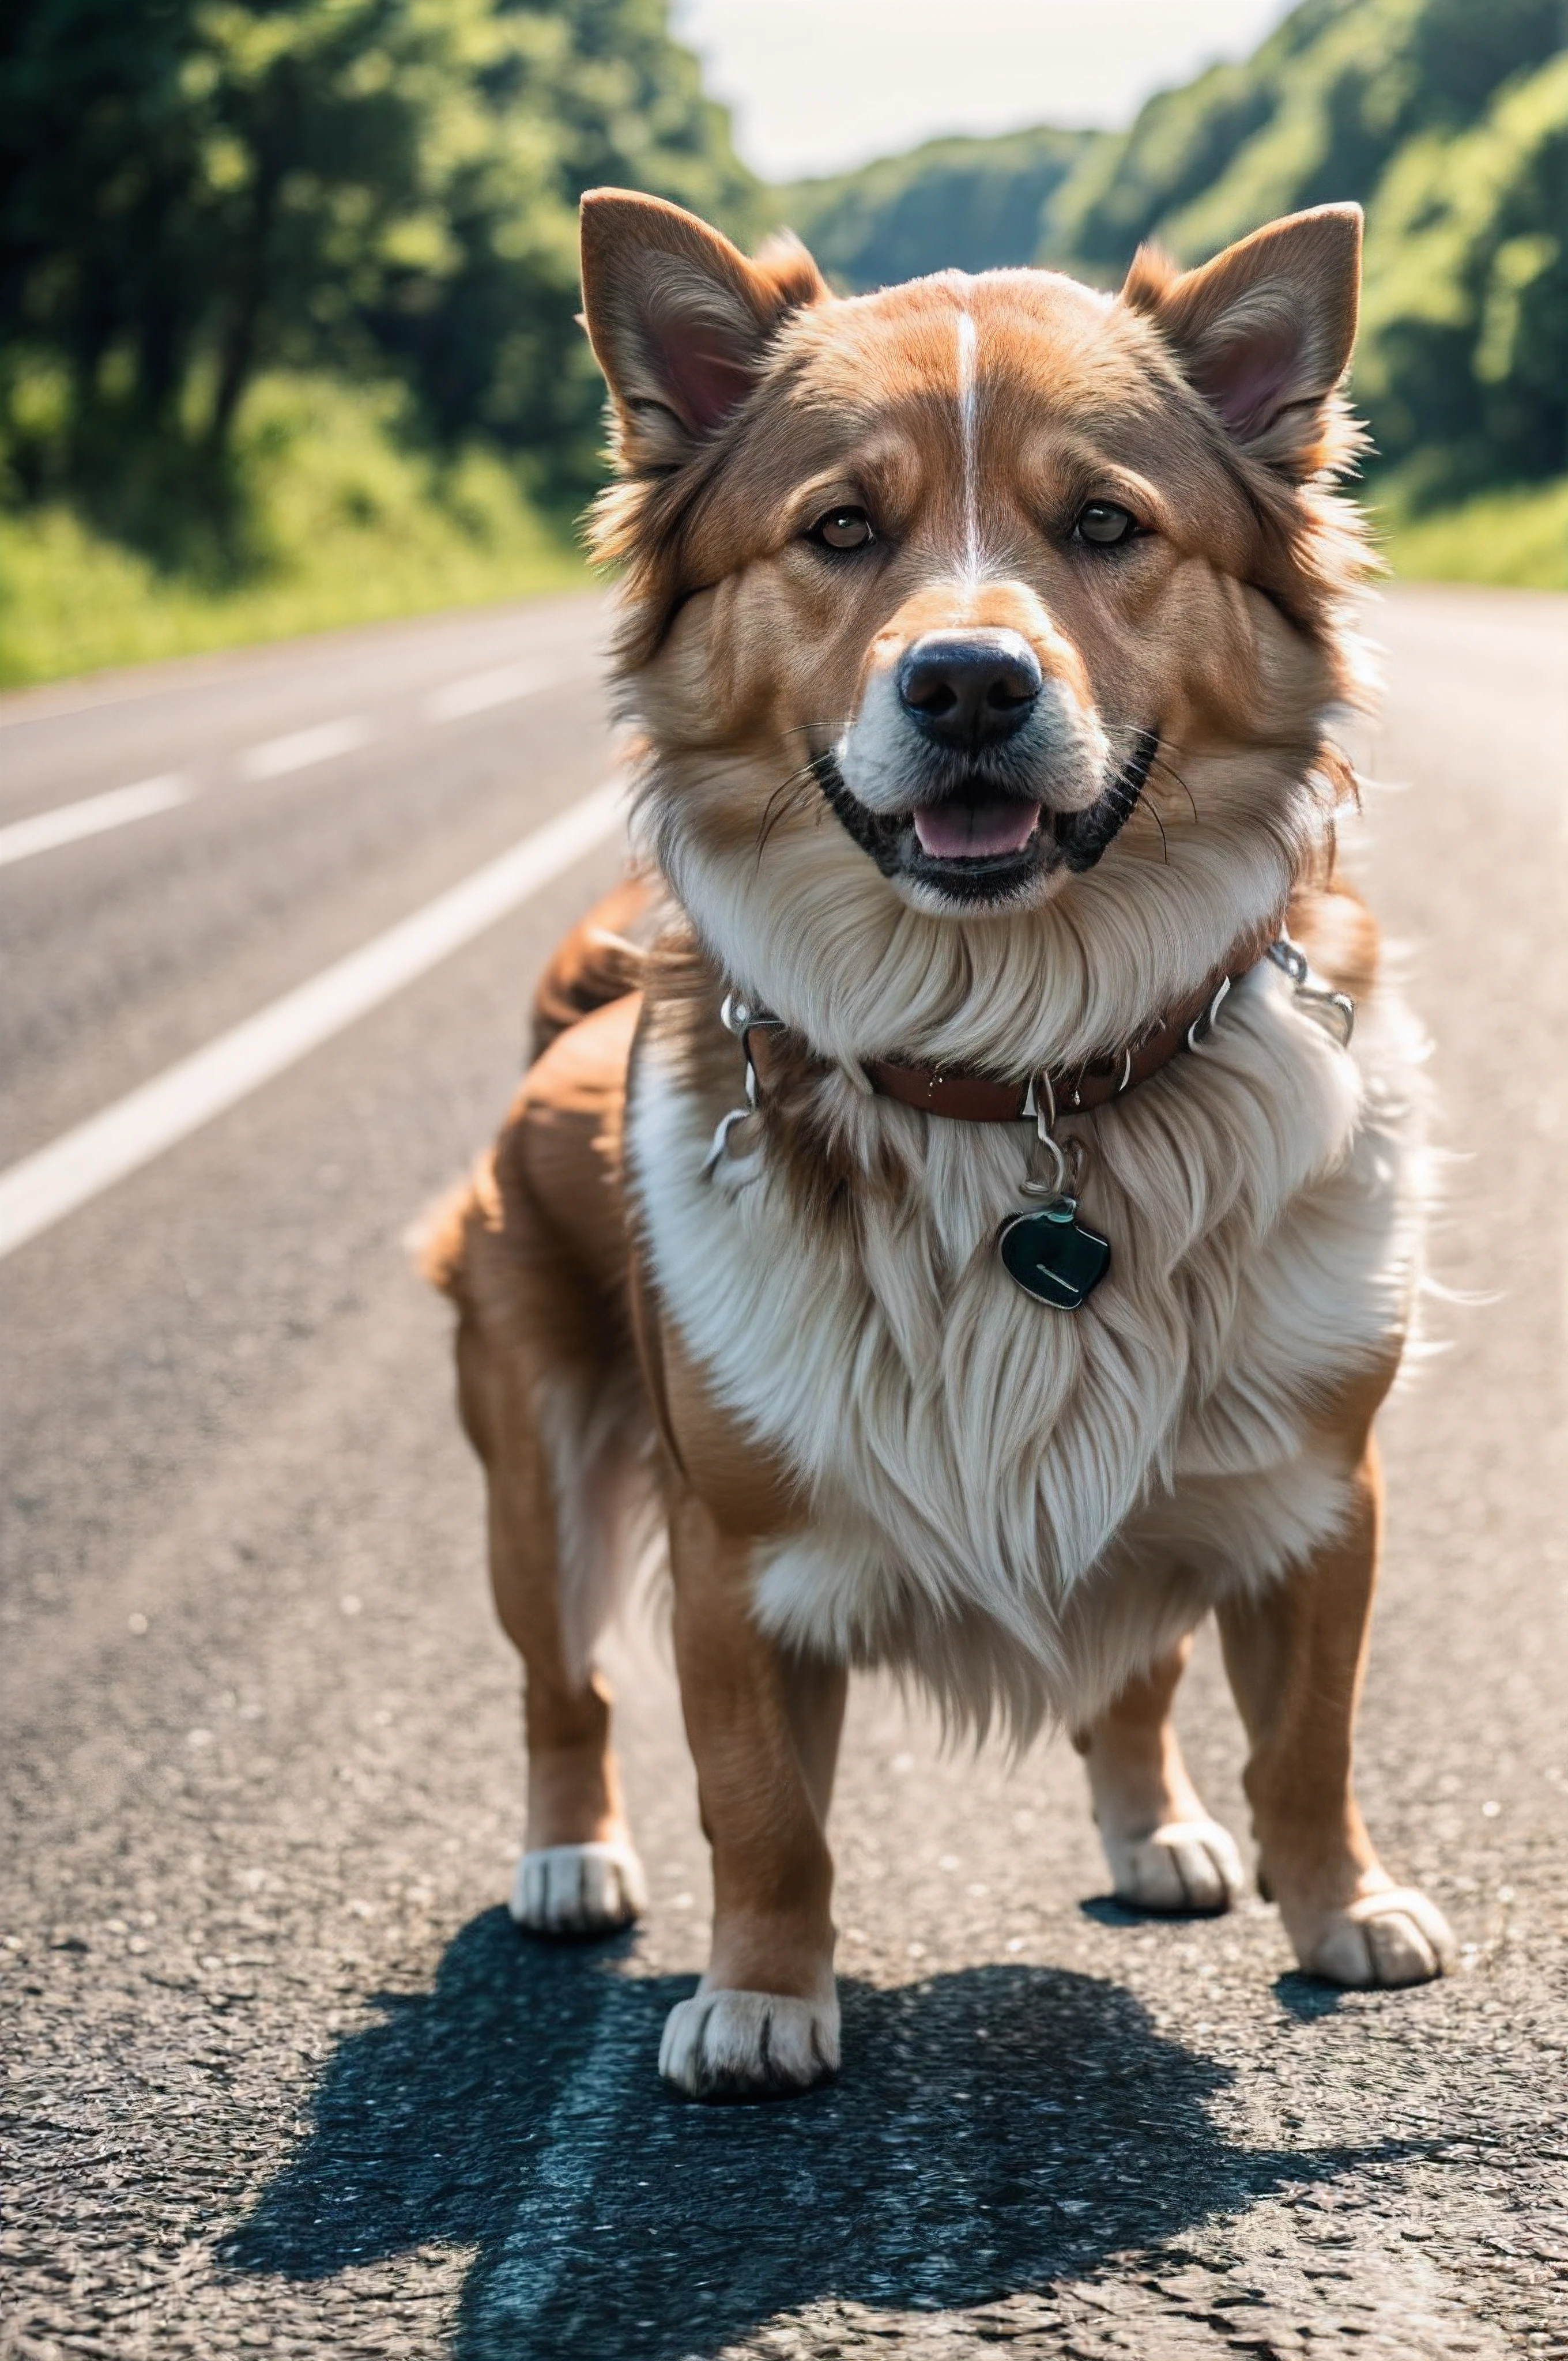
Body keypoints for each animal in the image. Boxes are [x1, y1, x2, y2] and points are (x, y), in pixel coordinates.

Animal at [423, 188, 1454, 2106]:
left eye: (1106, 524)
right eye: (841, 528)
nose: (968, 683)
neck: (1018, 1072)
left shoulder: (1316, 1492)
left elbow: (1311, 1740)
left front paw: (1340, 1907)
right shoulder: (734, 1553)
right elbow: (763, 1807)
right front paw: (762, 1997)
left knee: (1132, 1684)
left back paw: (1157, 1832)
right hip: (541, 1476)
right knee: (563, 1693)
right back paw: (570, 1859)